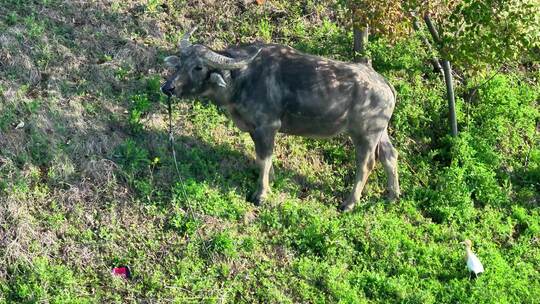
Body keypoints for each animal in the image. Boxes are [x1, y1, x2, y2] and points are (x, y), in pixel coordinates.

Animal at [162, 28, 398, 211]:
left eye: (198, 67)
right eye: (180, 61)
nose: (168, 88)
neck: (243, 79)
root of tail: (385, 85)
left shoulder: (267, 127)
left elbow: (264, 158)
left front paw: (261, 194)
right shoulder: (253, 128)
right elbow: (263, 158)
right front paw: (272, 179)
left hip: (365, 135)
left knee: (366, 164)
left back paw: (349, 203)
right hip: (381, 133)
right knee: (390, 155)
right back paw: (392, 195)